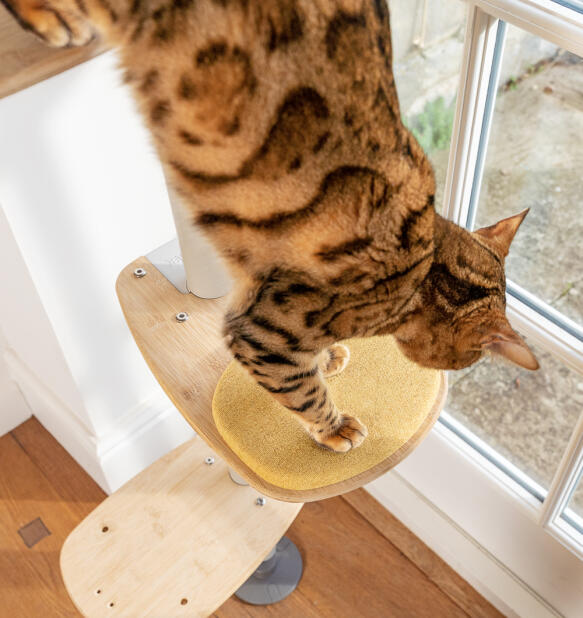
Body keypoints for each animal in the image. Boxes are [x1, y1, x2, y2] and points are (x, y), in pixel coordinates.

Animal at [3, 0, 544, 450]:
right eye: (467, 362)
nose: (463, 368)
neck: (427, 269)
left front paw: (327, 358)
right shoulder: (262, 334)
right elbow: (305, 392)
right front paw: (334, 426)